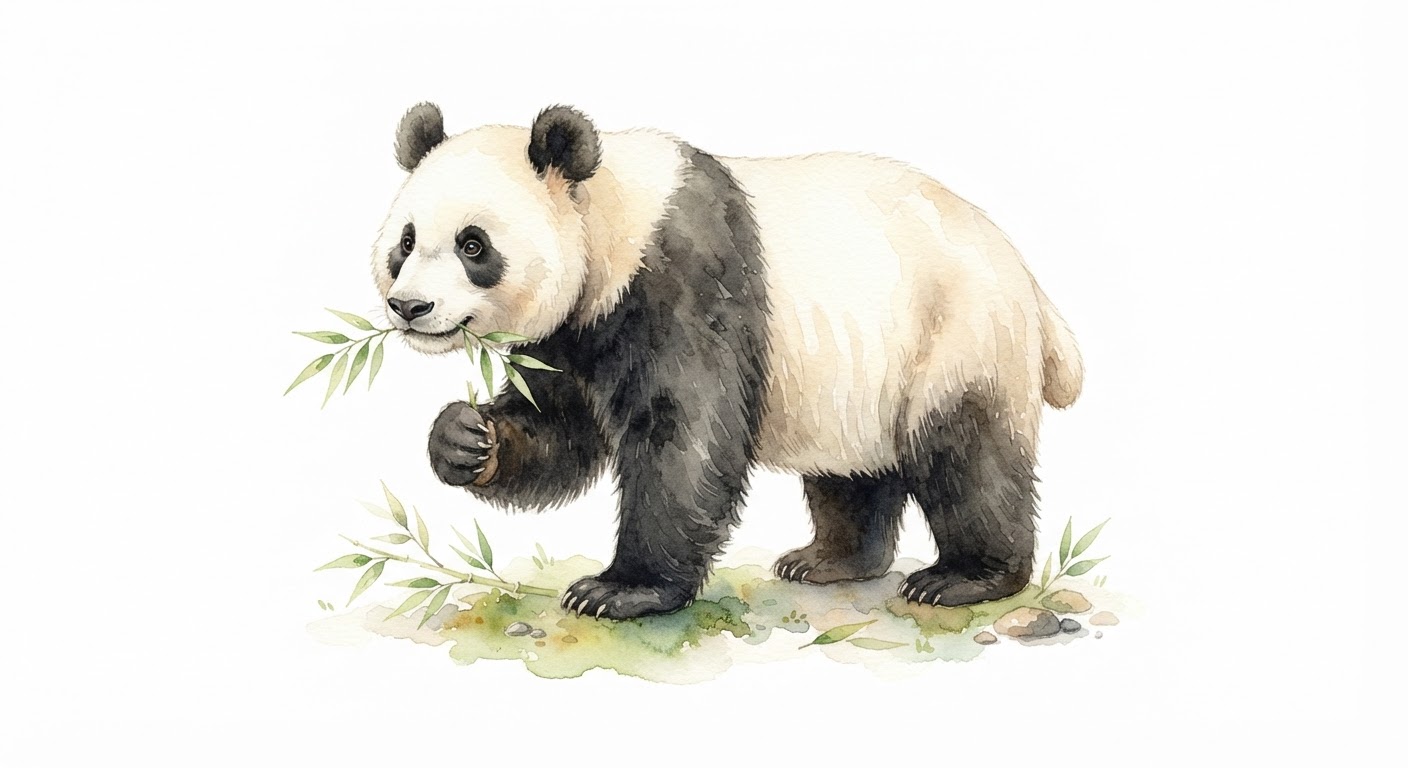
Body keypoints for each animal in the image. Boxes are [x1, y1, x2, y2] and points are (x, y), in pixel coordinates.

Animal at [372, 103, 1083, 620]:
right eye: (405, 241)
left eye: (473, 245)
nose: (409, 306)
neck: (612, 214)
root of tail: (1025, 276)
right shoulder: (576, 331)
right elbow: (560, 423)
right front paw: (466, 439)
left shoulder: (684, 276)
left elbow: (683, 433)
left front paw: (621, 590)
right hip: (860, 370)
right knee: (853, 469)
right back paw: (830, 560)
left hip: (954, 328)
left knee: (966, 453)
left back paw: (966, 578)